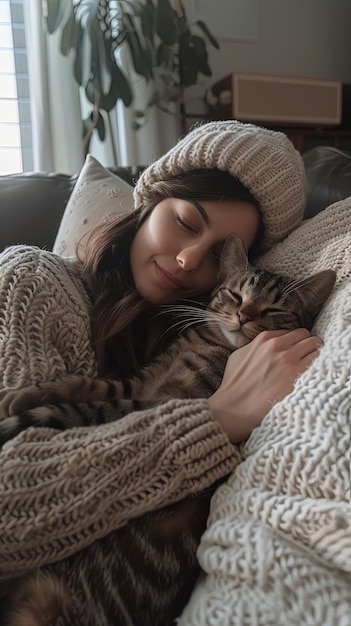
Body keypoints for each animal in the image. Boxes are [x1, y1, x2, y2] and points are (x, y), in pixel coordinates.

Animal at [0, 235, 336, 624]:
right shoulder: (139, 382)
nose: (243, 316)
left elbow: (89, 407)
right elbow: (86, 385)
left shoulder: (163, 400)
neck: (207, 344)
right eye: (236, 296)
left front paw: (31, 407)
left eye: (272, 311)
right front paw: (25, 394)